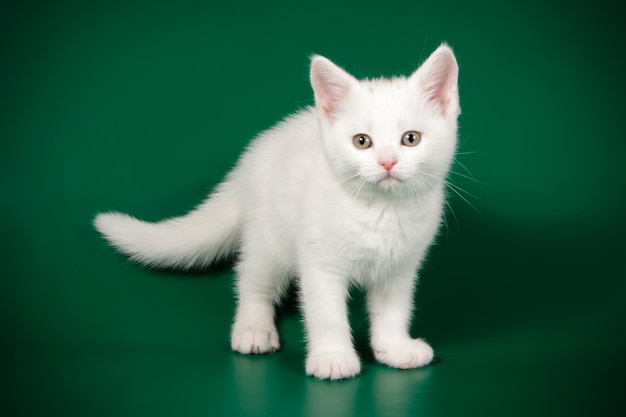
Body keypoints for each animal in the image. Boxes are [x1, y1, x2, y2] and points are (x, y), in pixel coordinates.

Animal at [95, 44, 460, 378]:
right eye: (361, 141)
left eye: (411, 139)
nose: (387, 162)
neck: (380, 210)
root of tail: (251, 159)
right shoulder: (319, 263)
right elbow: (326, 313)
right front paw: (333, 357)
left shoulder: (400, 268)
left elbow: (394, 310)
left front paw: (394, 347)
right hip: (269, 238)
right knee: (251, 280)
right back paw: (253, 329)